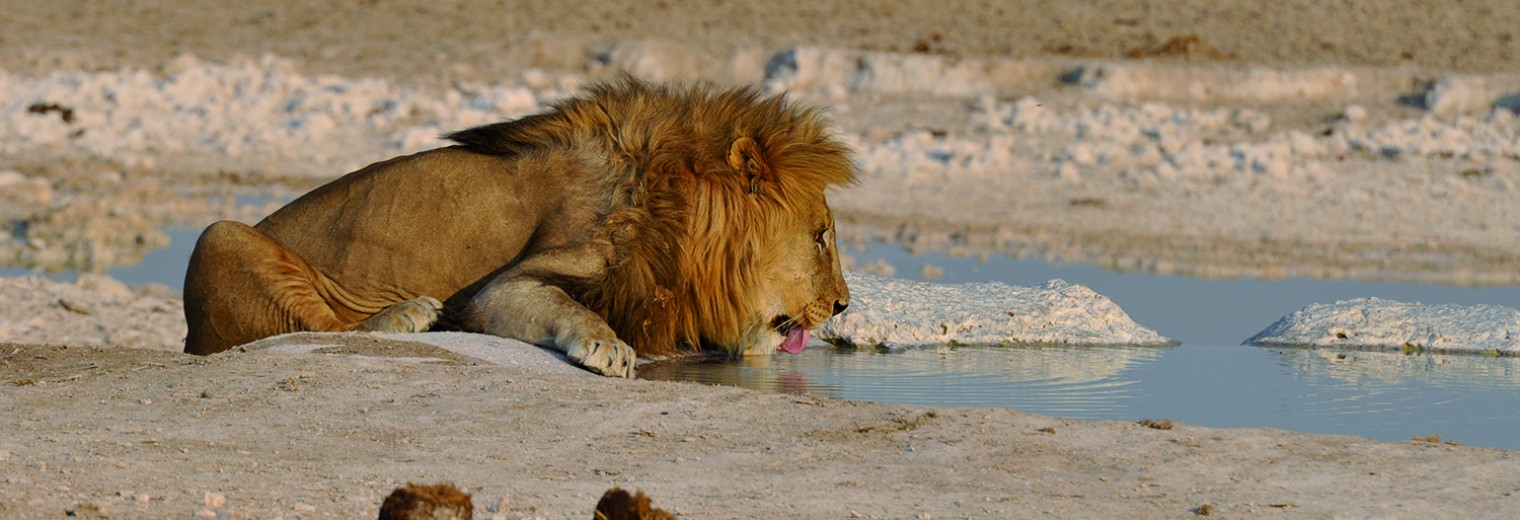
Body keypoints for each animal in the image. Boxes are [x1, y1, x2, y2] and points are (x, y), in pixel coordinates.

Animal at [180, 78, 857, 377]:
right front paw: (608, 347)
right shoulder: (500, 289)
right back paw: (407, 315)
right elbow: (571, 306)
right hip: (218, 235)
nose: (844, 305)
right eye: (821, 235)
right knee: (317, 325)